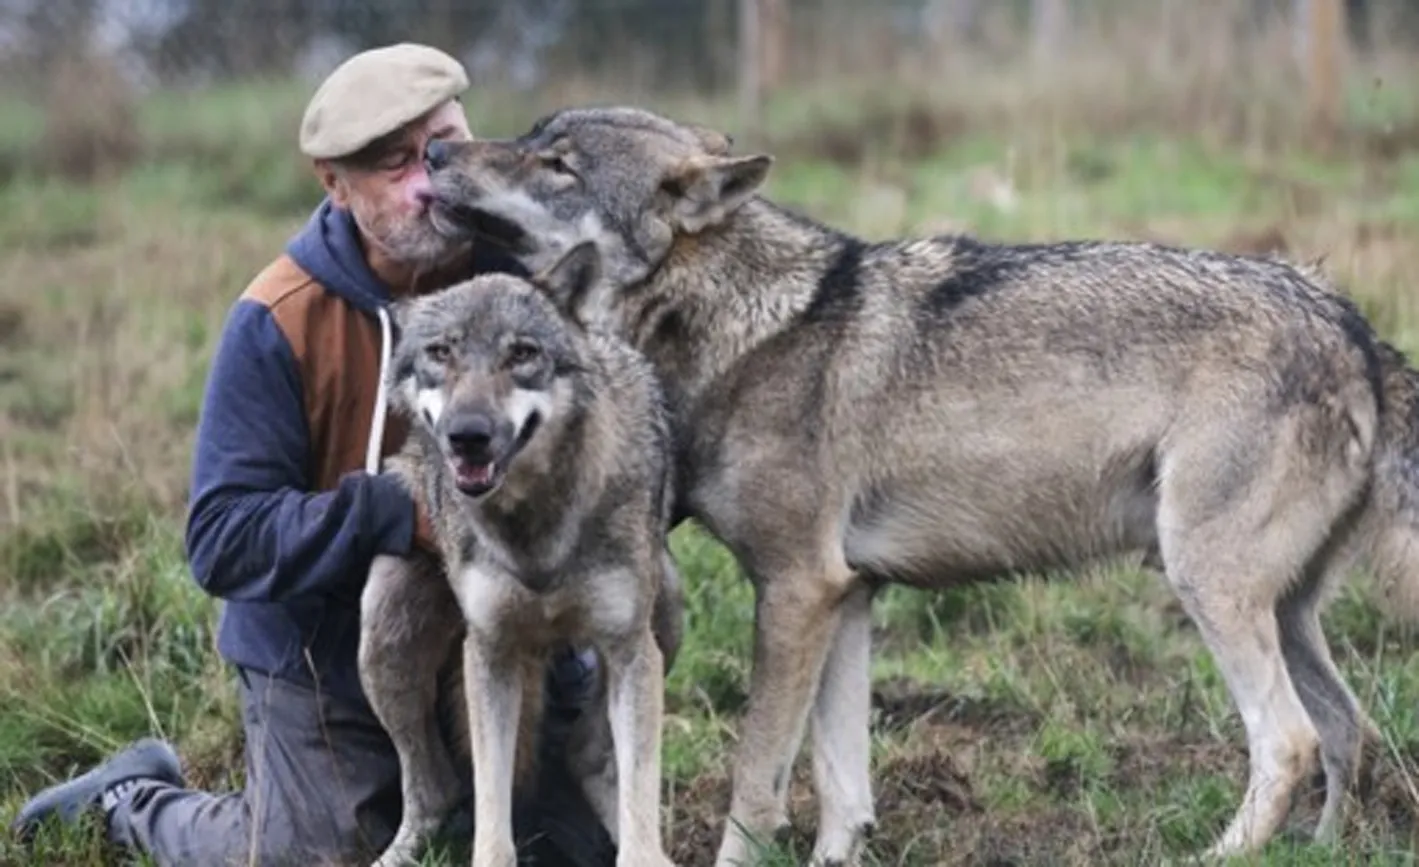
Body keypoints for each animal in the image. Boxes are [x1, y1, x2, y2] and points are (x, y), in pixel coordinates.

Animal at [355, 240, 684, 867]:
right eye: (441, 353)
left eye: (523, 354)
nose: (468, 434)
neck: (534, 534)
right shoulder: (490, 652)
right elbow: (491, 811)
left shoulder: (629, 648)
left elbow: (639, 796)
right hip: (384, 630)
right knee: (434, 790)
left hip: (666, 618)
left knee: (591, 760)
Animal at [416, 107, 1419, 866]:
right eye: (529, 137)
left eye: (558, 164)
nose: (433, 152)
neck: (734, 328)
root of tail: (1350, 322)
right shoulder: (847, 594)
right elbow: (841, 784)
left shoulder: (795, 590)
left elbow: (757, 778)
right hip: (1279, 608)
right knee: (1346, 728)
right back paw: (1321, 850)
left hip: (1206, 585)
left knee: (1287, 740)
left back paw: (1220, 853)